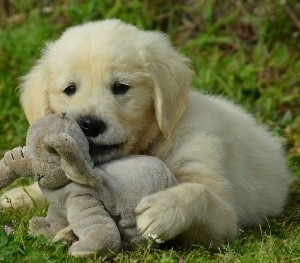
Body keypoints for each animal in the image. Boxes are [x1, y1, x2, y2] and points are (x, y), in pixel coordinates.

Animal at [0, 19, 290, 246]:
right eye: (70, 89)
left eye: (121, 87)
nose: (89, 124)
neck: (153, 141)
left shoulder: (225, 216)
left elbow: (200, 192)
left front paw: (163, 210)